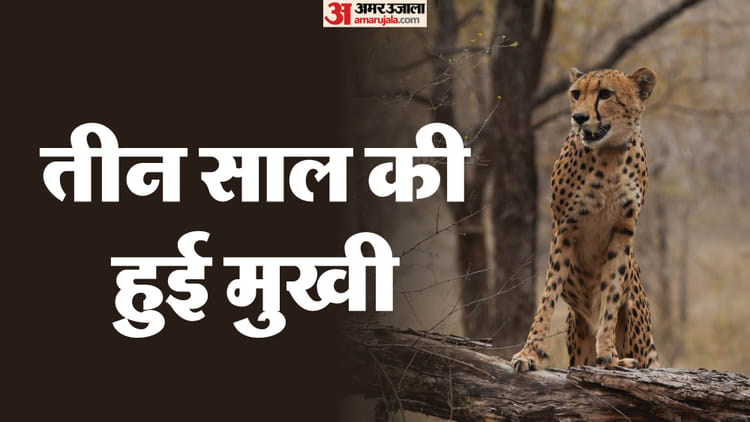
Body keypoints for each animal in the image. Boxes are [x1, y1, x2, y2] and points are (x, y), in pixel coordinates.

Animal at [511, 66, 660, 372]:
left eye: (605, 94)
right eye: (575, 93)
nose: (578, 117)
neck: (609, 154)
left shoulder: (622, 232)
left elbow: (610, 296)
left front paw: (609, 356)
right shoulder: (565, 229)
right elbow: (547, 297)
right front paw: (529, 353)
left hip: (638, 334)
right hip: (575, 330)